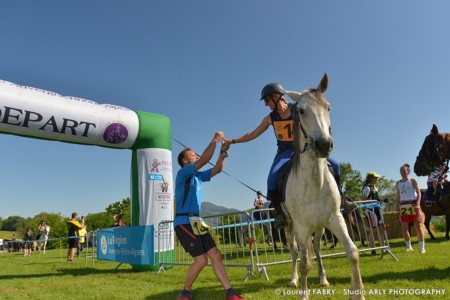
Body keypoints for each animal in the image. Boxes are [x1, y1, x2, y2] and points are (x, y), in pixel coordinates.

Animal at [284, 73, 364, 300]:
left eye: (328, 107)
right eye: (301, 111)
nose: (324, 145)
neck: (314, 183)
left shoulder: (335, 218)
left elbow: (353, 252)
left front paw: (358, 293)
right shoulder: (301, 227)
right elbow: (304, 265)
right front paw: (303, 294)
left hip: (319, 227)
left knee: (318, 248)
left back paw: (323, 278)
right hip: (289, 227)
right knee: (294, 252)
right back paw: (293, 280)